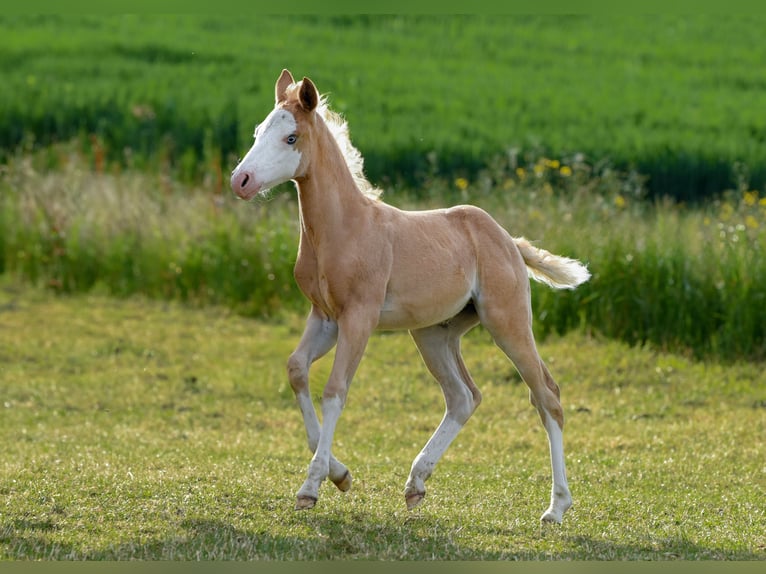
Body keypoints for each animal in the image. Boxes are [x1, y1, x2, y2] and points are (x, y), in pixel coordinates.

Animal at [230, 69, 590, 523]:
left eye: (290, 137)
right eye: (258, 132)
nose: (240, 181)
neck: (343, 228)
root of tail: (509, 241)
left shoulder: (359, 318)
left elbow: (334, 391)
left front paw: (311, 487)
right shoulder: (325, 317)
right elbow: (296, 370)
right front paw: (340, 474)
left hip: (507, 322)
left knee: (547, 396)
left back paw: (556, 507)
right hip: (434, 333)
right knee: (463, 396)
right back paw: (416, 483)